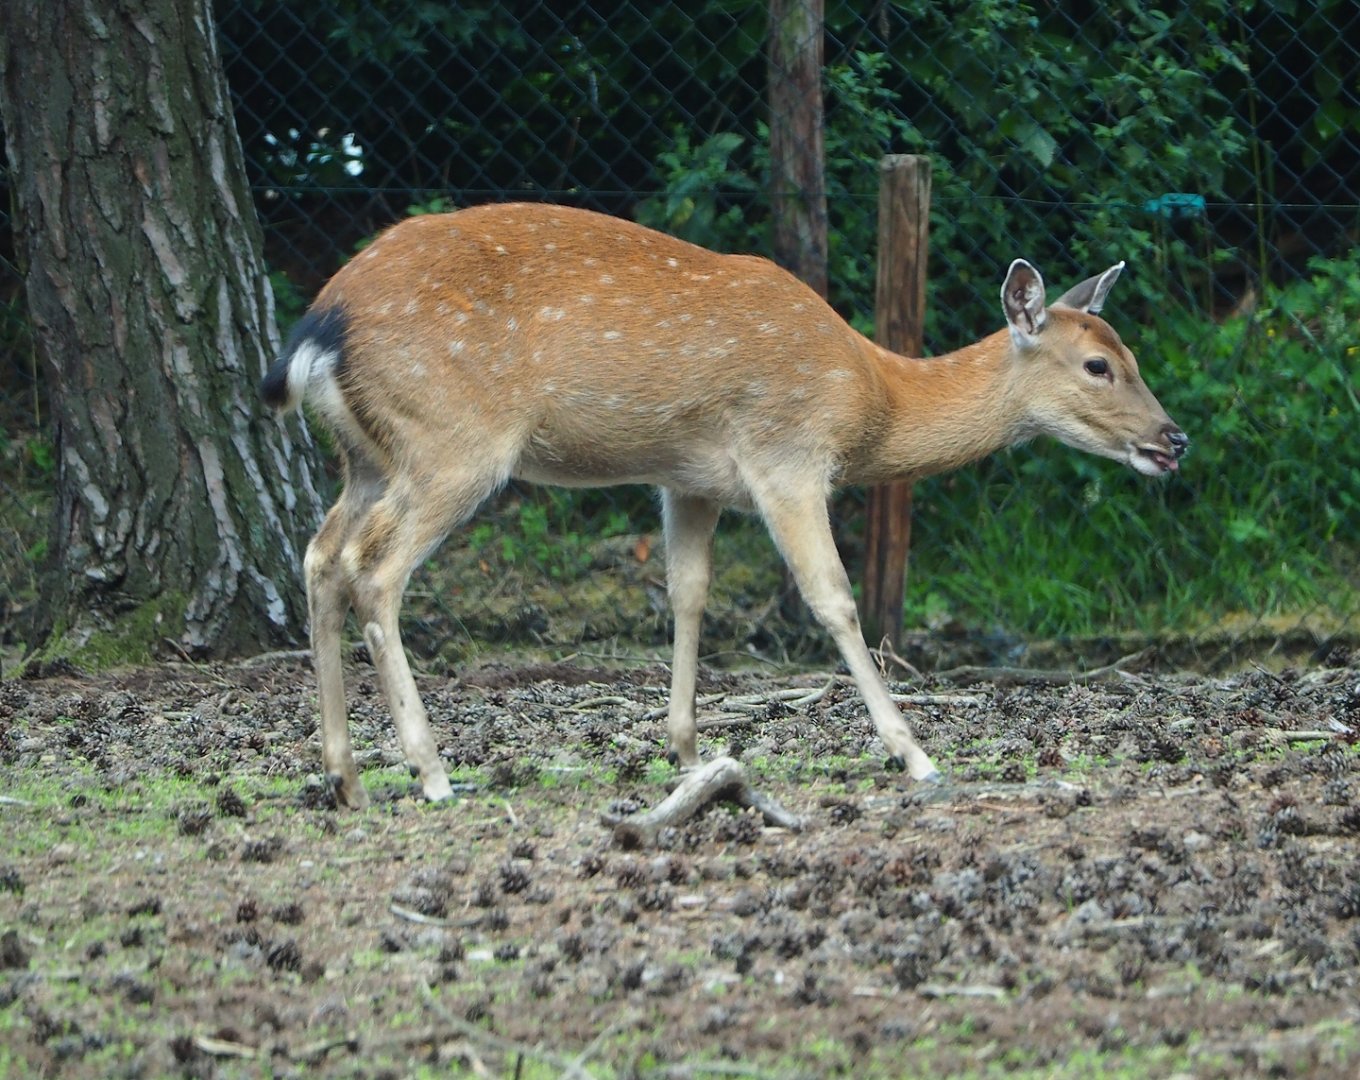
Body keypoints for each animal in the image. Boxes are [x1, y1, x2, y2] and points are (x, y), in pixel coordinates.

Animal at [260, 202, 1188, 810]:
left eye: (1134, 354)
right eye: (1098, 366)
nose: (1173, 440)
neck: (874, 400)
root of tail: (317, 330)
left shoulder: (689, 479)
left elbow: (688, 595)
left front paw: (686, 749)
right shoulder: (787, 454)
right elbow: (833, 599)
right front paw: (915, 754)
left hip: (370, 456)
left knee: (319, 554)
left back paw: (343, 773)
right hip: (454, 441)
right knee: (373, 568)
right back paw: (431, 772)